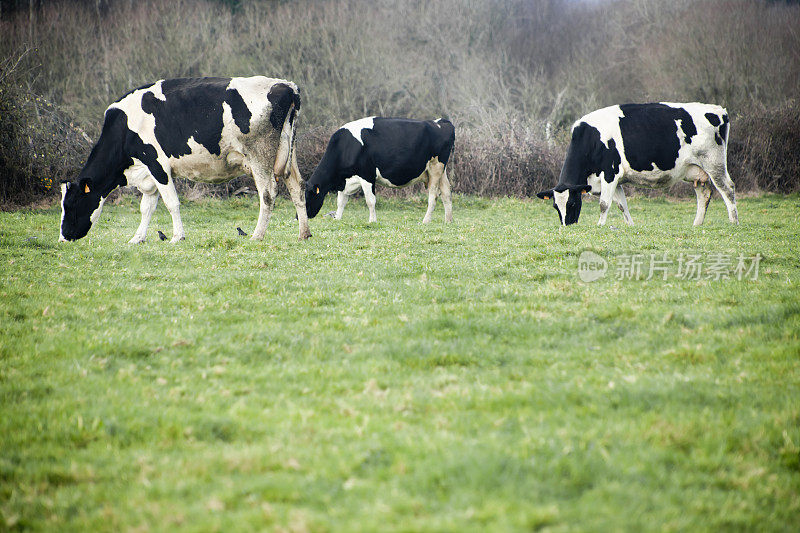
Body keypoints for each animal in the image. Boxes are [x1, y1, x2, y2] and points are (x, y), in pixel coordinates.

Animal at [57, 76, 310, 242]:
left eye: (70, 204)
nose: (63, 237)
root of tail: (287, 86)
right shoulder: (148, 173)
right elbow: (146, 207)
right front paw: (137, 238)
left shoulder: (157, 164)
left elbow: (171, 203)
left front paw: (177, 236)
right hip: (289, 153)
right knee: (297, 188)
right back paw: (303, 233)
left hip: (260, 155)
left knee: (268, 193)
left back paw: (257, 235)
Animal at [304, 116, 456, 222]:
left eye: (307, 197)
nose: (301, 217)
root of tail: (440, 122)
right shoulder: (346, 180)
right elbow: (341, 202)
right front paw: (337, 219)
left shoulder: (367, 175)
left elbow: (370, 201)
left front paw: (372, 221)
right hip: (441, 171)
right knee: (446, 193)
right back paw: (448, 220)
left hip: (435, 168)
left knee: (433, 195)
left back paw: (426, 220)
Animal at [536, 103, 736, 225]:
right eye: (555, 207)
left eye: (571, 204)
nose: (567, 226)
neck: (591, 139)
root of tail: (719, 110)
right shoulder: (615, 180)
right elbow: (621, 205)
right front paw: (630, 226)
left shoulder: (610, 173)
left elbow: (604, 204)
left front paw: (600, 225)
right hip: (697, 170)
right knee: (704, 194)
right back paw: (697, 224)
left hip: (714, 163)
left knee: (727, 189)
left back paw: (733, 222)